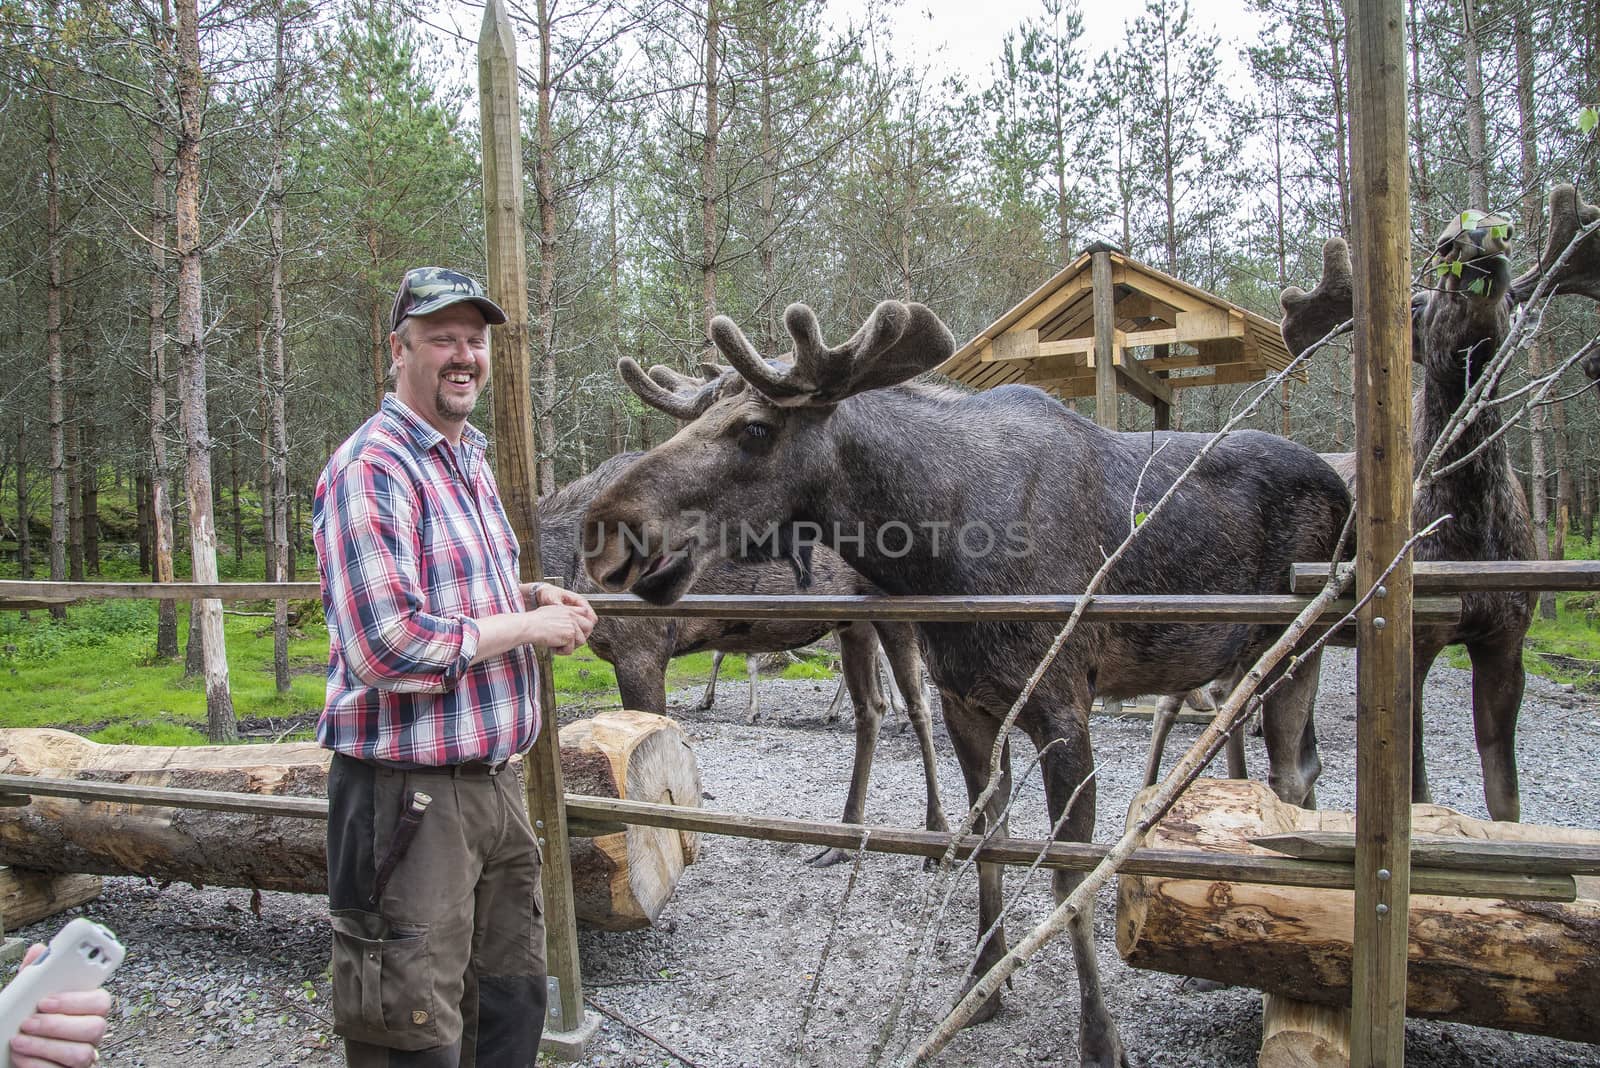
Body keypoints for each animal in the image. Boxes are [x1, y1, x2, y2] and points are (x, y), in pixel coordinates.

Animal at [537, 454, 940, 869]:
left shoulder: (640, 649)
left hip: (898, 612)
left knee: (921, 702)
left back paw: (935, 834)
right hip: (854, 623)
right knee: (870, 708)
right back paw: (843, 840)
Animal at [579, 298, 1350, 1061]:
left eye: (756, 429)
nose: (605, 530)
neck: (938, 550)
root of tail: (1343, 485)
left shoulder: (1063, 705)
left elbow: (1068, 874)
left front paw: (1099, 1038)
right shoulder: (966, 704)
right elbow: (987, 842)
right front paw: (982, 985)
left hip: (1297, 641)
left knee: (1291, 774)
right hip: (1245, 662)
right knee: (1287, 769)